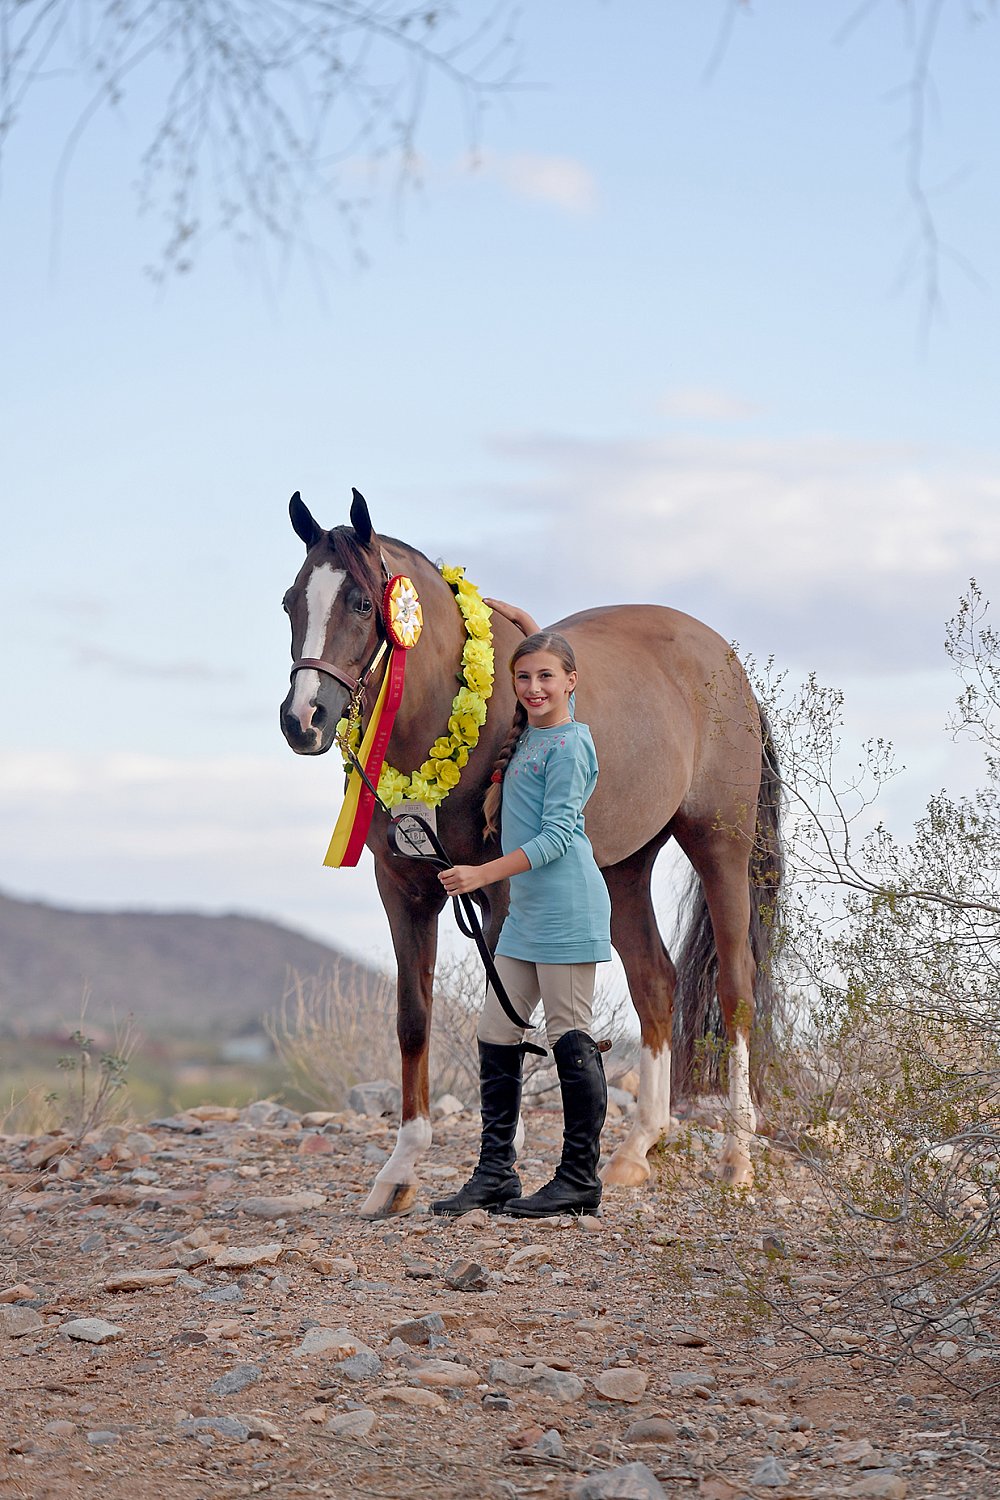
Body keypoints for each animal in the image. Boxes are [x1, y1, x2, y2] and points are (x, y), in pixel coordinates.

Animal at [280, 492, 779, 1218]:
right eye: (291, 601)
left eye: (363, 604)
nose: (303, 720)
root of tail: (725, 662)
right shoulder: (403, 890)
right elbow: (414, 1018)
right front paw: (398, 1171)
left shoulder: (500, 893)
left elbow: (504, 1014)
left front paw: (501, 1160)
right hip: (623, 867)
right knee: (655, 982)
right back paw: (637, 1147)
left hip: (721, 845)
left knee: (735, 987)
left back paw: (737, 1158)